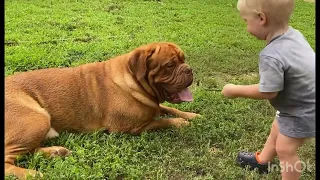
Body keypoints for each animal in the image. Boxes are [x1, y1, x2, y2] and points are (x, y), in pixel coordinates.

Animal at [4, 42, 200, 179]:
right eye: (170, 65)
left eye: (183, 60)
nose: (189, 69)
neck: (133, 79)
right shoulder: (130, 128)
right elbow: (161, 121)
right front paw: (180, 122)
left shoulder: (154, 107)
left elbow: (168, 109)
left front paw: (192, 115)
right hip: (37, 120)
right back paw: (31, 173)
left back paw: (55, 152)